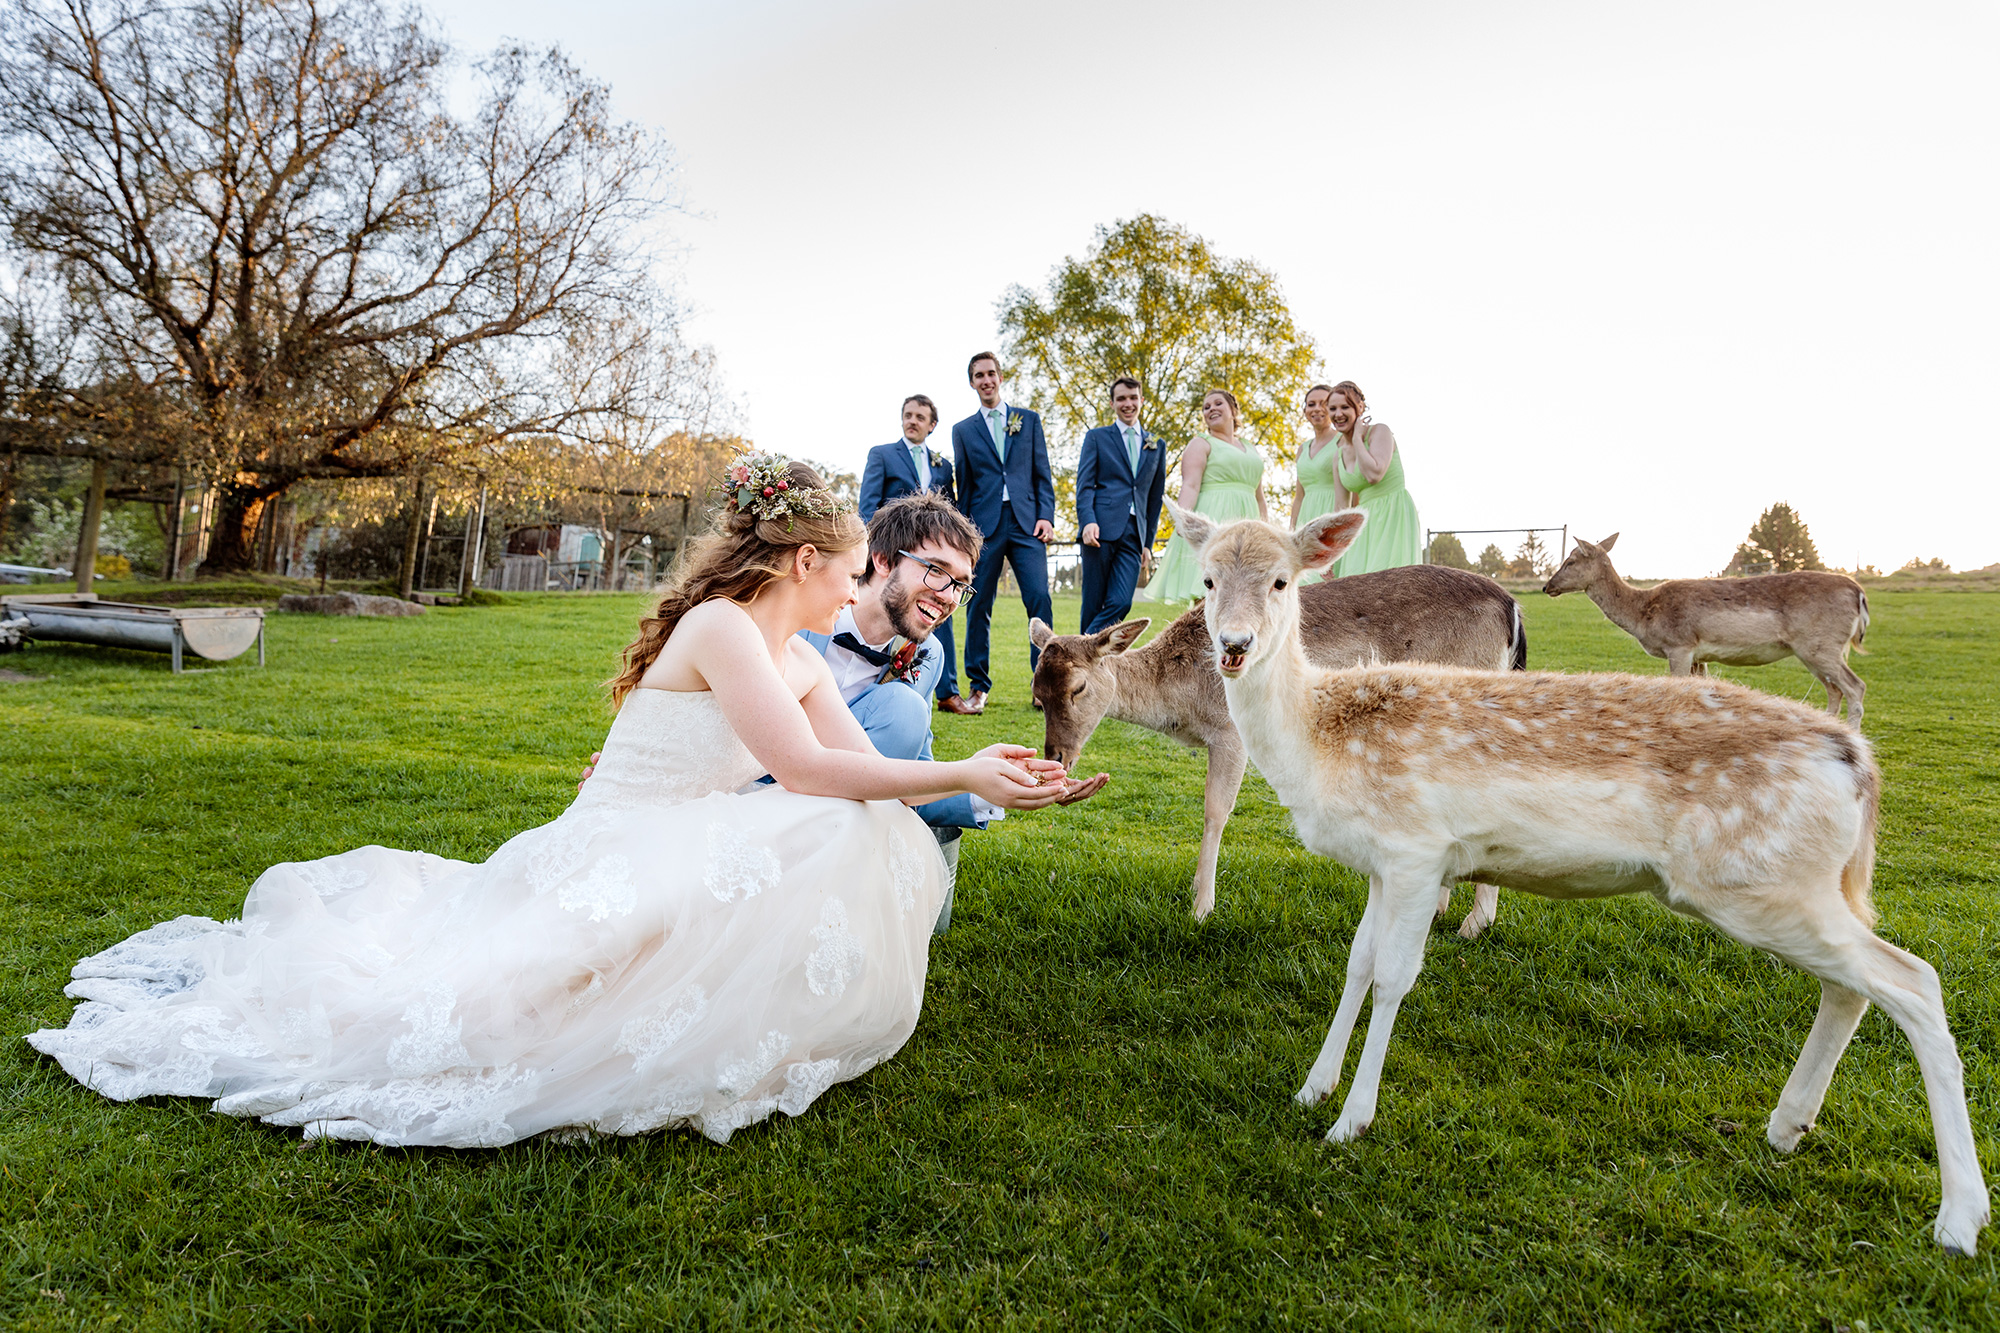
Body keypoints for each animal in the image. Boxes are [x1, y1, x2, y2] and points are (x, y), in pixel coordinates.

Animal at [1024, 564, 1520, 928]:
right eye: (1037, 692)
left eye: (1079, 688)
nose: (1057, 756)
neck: (1183, 703)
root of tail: (1511, 607)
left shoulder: (1230, 733)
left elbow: (1215, 810)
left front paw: (1201, 907)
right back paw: (1439, 907)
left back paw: (1475, 923)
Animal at [1544, 528, 1872, 720]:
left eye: (1571, 561)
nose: (1547, 586)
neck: (1643, 615)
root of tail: (1859, 593)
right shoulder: (1699, 655)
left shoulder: (1680, 645)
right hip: (1817, 650)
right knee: (1835, 691)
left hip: (1820, 645)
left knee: (1856, 687)